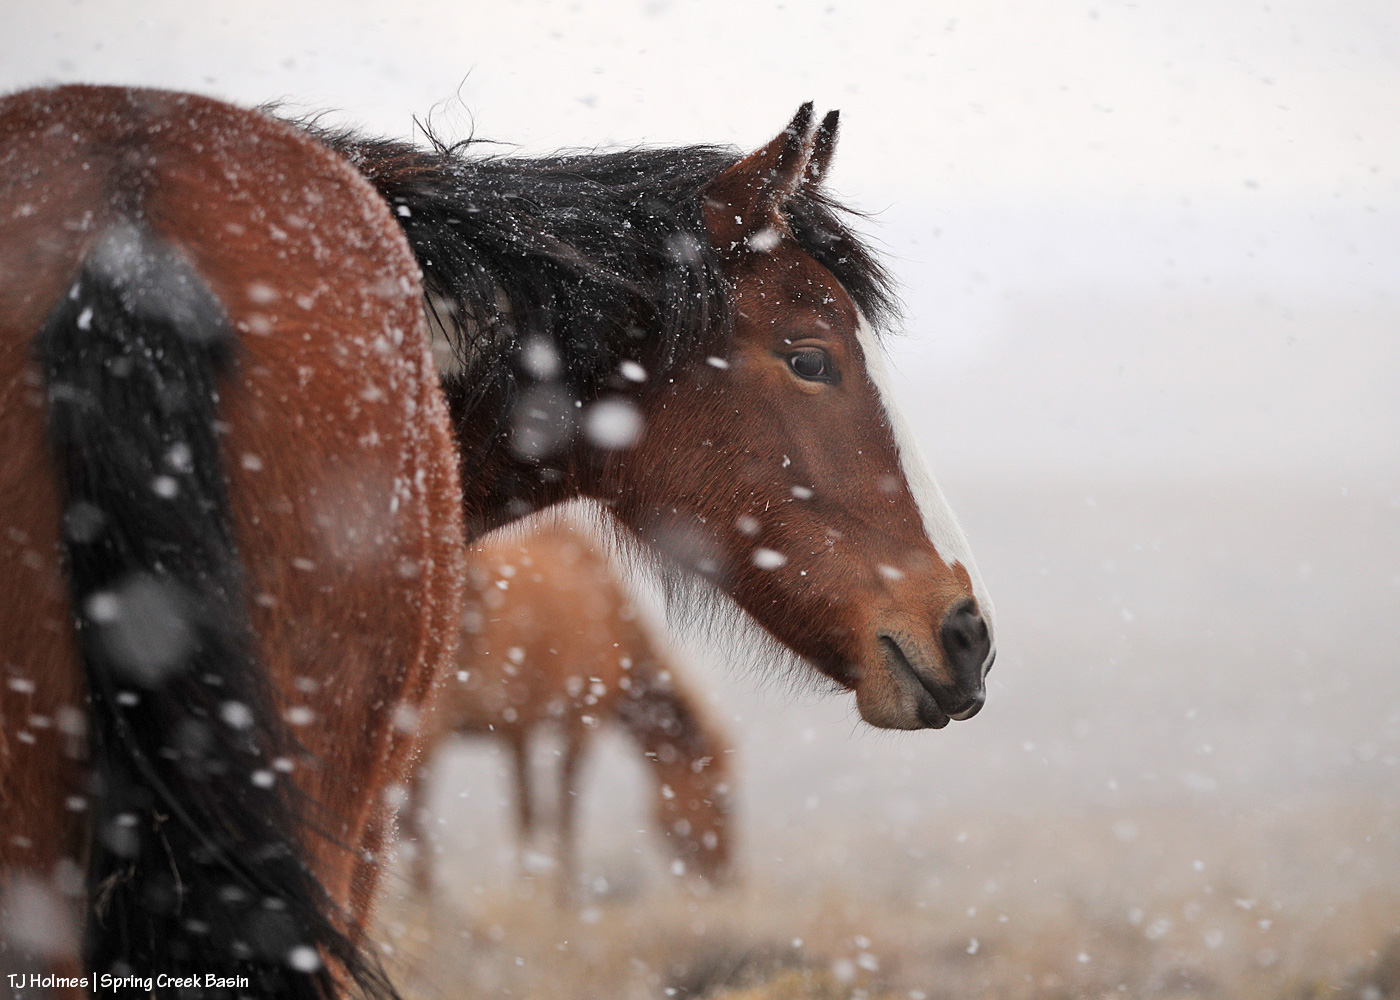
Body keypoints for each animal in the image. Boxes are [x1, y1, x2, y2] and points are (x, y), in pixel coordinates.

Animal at [405, 520, 732, 899]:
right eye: (721, 800)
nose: (728, 876)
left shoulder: (519, 729)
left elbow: (527, 810)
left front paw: (528, 884)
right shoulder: (581, 719)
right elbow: (564, 807)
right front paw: (562, 892)